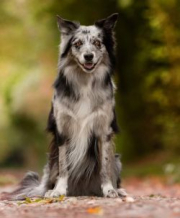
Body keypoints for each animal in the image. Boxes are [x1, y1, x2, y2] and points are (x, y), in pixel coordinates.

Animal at [1, 13, 131, 201]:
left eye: (97, 43)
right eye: (77, 44)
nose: (88, 56)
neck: (85, 83)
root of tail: (82, 190)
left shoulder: (103, 131)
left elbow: (104, 166)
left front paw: (109, 190)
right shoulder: (63, 131)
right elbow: (64, 166)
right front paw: (58, 190)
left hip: (117, 159)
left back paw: (118, 189)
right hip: (50, 163)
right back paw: (48, 190)